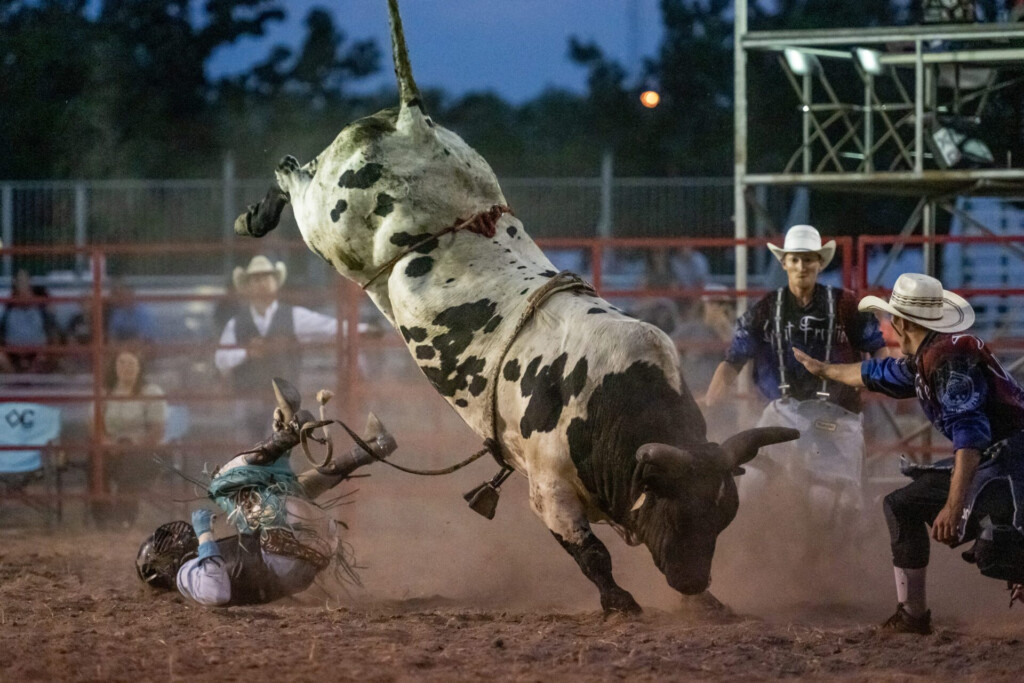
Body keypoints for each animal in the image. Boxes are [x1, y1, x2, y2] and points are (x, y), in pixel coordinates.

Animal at [235, 0, 794, 614]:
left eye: (722, 516)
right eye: (678, 509)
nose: (692, 580)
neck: (608, 401)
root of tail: (413, 121)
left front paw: (710, 604)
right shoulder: (549, 489)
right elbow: (590, 553)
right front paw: (620, 601)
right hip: (327, 219)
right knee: (291, 173)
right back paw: (253, 217)